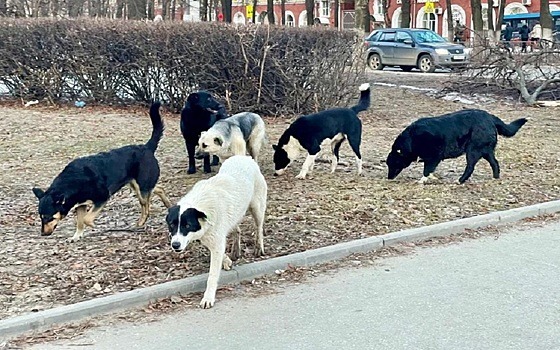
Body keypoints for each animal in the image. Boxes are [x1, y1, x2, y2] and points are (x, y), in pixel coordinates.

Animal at [32, 102, 172, 242]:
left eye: (49, 217)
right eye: (41, 217)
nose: (43, 234)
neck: (72, 183)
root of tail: (147, 147)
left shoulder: (102, 197)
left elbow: (87, 219)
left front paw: (93, 225)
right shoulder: (80, 205)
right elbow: (80, 222)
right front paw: (76, 236)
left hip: (141, 187)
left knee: (146, 205)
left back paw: (142, 221)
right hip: (136, 185)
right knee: (158, 189)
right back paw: (168, 205)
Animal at [165, 156, 268, 308]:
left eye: (187, 225)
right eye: (172, 225)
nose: (175, 245)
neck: (201, 205)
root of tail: (244, 157)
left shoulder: (215, 240)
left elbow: (212, 275)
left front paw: (208, 298)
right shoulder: (210, 237)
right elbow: (220, 251)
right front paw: (227, 261)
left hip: (257, 207)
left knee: (259, 227)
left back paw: (258, 247)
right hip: (236, 214)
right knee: (237, 230)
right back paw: (235, 251)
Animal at [388, 108, 528, 186]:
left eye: (393, 163)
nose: (388, 178)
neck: (411, 139)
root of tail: (490, 117)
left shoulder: (434, 157)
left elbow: (426, 171)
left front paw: (422, 180)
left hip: (473, 151)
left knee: (470, 167)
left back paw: (460, 180)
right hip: (486, 151)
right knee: (495, 163)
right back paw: (495, 177)